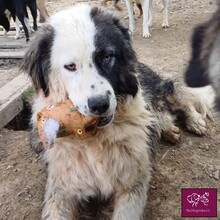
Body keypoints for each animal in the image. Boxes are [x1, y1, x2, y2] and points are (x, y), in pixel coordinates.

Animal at [21, 2, 211, 219]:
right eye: (70, 66)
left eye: (106, 57)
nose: (99, 104)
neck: (94, 139)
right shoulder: (61, 189)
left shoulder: (133, 184)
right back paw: (169, 130)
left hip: (161, 87)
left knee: (180, 98)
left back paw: (195, 121)